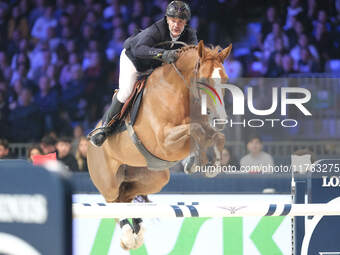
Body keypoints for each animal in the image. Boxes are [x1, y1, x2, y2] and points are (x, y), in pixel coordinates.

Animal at [86, 40, 232, 250]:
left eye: (225, 78)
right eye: (203, 80)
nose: (221, 120)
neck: (178, 91)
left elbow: (216, 136)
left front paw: (210, 165)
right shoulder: (165, 142)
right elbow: (195, 130)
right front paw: (197, 160)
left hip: (156, 178)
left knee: (126, 195)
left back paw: (137, 229)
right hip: (107, 181)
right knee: (113, 201)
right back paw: (127, 235)